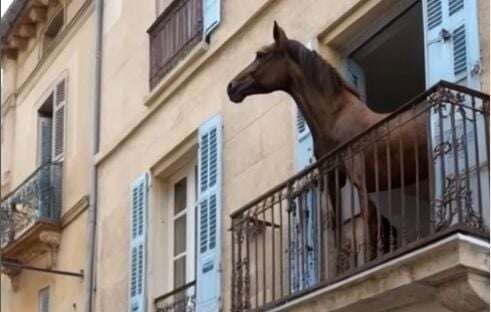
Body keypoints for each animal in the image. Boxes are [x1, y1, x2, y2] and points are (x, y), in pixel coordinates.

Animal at [229, 21, 428, 260]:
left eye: (261, 54)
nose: (231, 86)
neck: (336, 118)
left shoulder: (358, 173)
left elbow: (370, 218)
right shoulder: (333, 177)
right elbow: (335, 227)